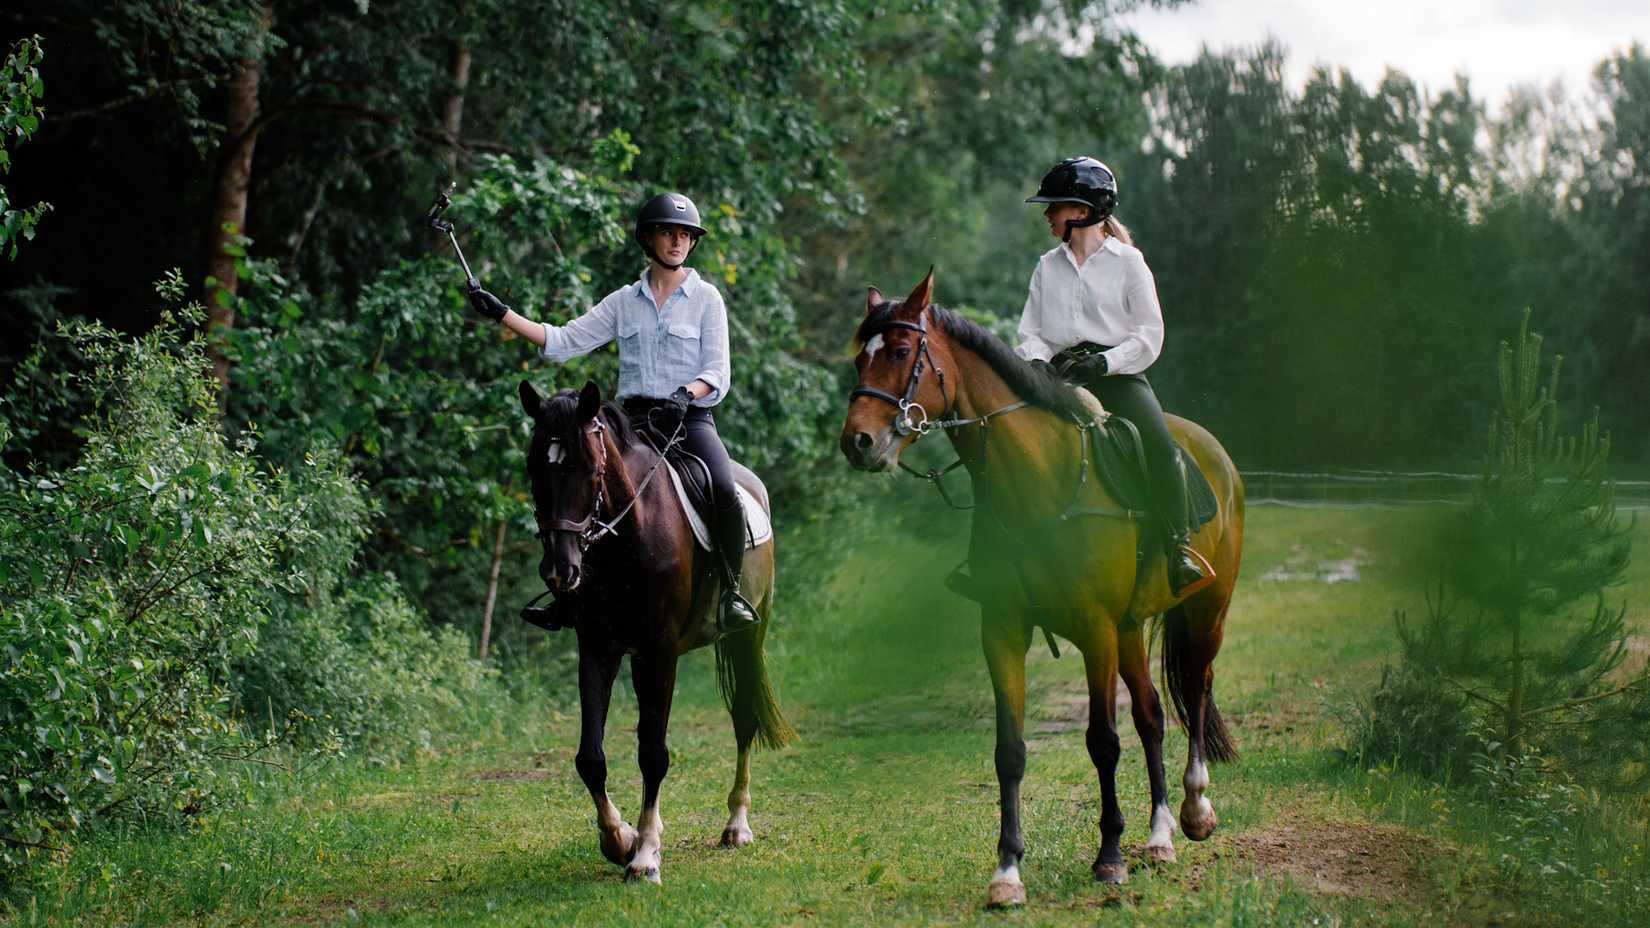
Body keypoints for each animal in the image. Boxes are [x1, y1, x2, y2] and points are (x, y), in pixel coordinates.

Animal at [518, 379, 795, 884]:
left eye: (590, 469)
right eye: (534, 468)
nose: (561, 570)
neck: (627, 536)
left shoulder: (658, 653)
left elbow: (652, 752)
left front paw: (645, 854)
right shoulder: (598, 648)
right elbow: (590, 758)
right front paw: (619, 839)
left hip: (750, 635)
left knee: (744, 718)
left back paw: (737, 825)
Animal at [838, 270, 1243, 908]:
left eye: (902, 353)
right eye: (860, 356)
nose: (857, 443)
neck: (1038, 482)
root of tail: (1215, 454)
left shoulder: (1096, 632)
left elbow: (1102, 740)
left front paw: (1108, 859)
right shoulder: (1004, 630)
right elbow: (1010, 751)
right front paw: (1007, 872)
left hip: (1206, 611)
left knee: (1196, 690)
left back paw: (1196, 810)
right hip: (1132, 629)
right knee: (1152, 713)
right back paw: (1159, 838)